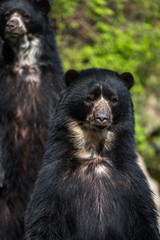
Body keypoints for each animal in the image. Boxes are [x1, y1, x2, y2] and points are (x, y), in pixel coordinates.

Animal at [24, 68, 160, 240]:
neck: (94, 153)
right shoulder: (53, 181)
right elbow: (44, 220)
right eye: (89, 98)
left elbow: (144, 219)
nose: (102, 118)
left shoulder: (133, 182)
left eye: (114, 99)